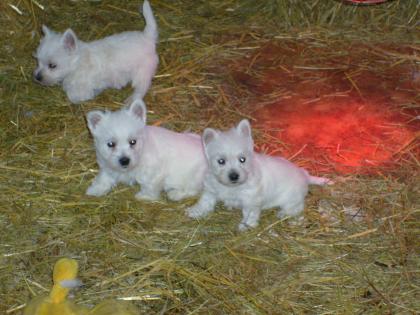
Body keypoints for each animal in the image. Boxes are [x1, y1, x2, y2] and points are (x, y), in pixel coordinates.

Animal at [187, 119, 332, 231]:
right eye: (221, 161)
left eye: (242, 159)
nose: (234, 176)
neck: (232, 187)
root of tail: (304, 175)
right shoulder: (211, 190)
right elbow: (205, 201)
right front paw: (195, 211)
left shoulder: (251, 200)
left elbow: (250, 213)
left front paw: (246, 226)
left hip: (291, 199)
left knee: (296, 208)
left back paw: (282, 213)